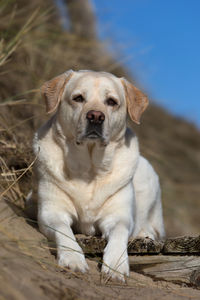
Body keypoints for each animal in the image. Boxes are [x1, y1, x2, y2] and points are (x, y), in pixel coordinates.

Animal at [28, 70, 166, 282]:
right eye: (78, 98)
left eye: (111, 101)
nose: (95, 116)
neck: (90, 169)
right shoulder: (51, 212)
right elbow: (64, 230)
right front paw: (73, 259)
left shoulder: (119, 217)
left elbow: (119, 234)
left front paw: (116, 265)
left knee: (150, 227)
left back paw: (144, 236)